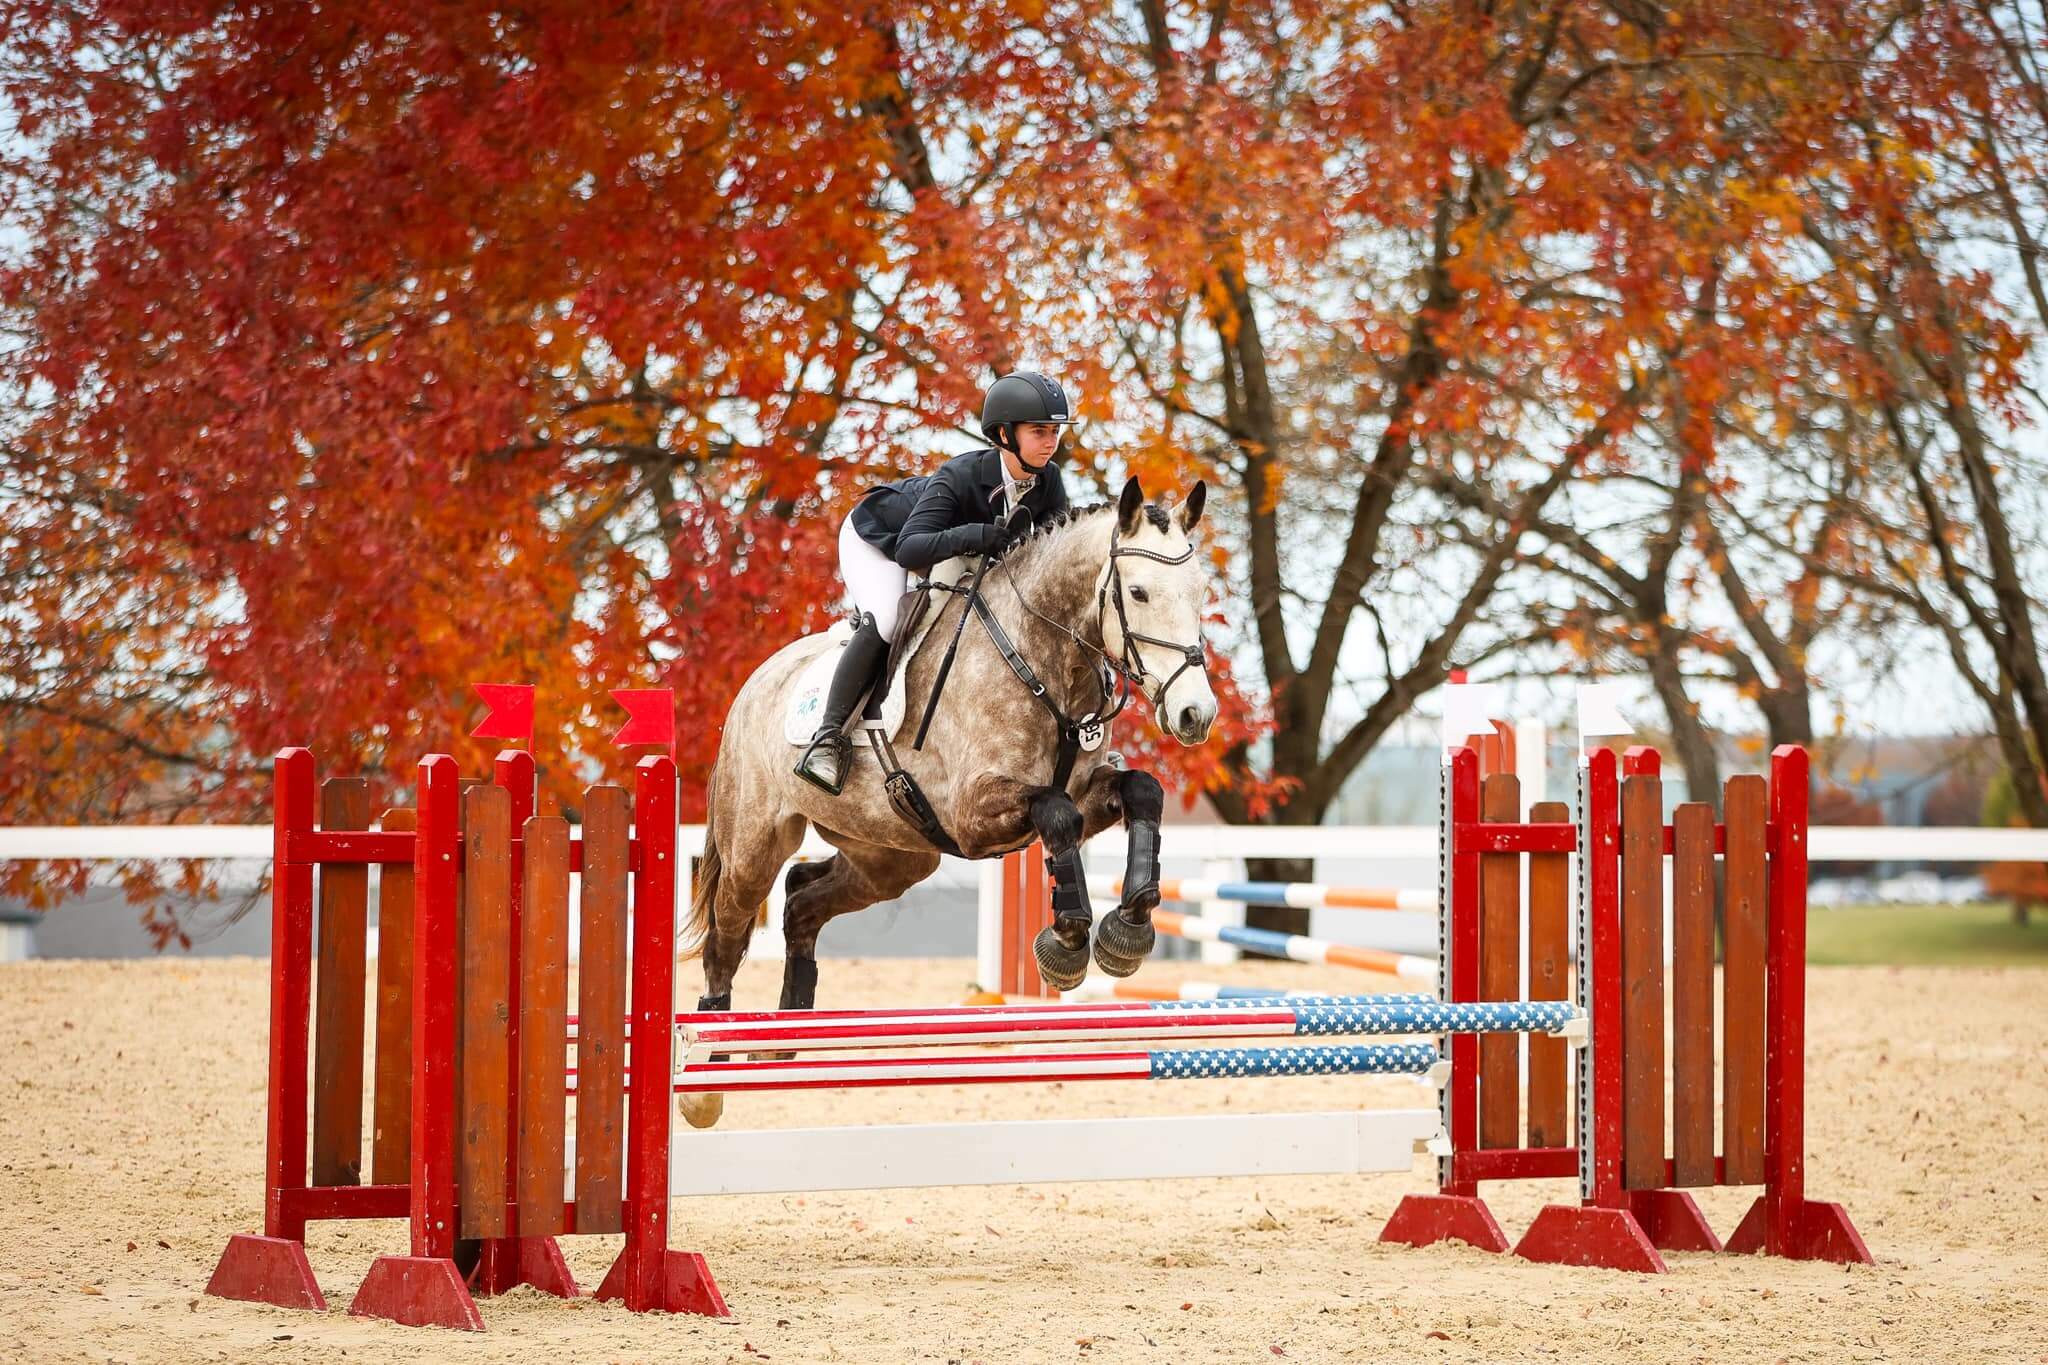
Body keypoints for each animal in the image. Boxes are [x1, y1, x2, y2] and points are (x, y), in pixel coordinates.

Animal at [681, 475, 1219, 1127]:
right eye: (1137, 592)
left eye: (1199, 592)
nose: (1195, 714)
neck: (1043, 656)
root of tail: (754, 684)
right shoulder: (974, 814)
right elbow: (1055, 814)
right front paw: (1067, 944)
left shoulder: (1084, 791)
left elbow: (1141, 789)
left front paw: (1129, 928)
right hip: (754, 843)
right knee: (728, 936)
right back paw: (707, 1081)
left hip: (894, 856)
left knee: (803, 899)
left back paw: (784, 1039)